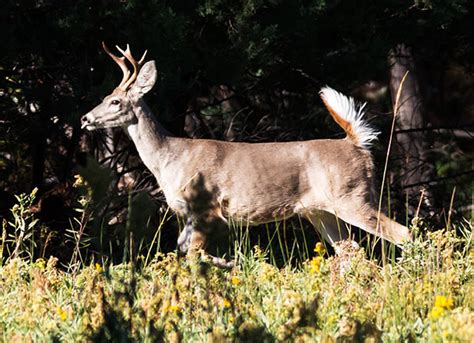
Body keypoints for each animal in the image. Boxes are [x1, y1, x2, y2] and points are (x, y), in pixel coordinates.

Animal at [81, 43, 412, 266]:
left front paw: (226, 266)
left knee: (402, 232)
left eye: (115, 101)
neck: (169, 158)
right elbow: (184, 250)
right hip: (321, 211)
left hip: (353, 197)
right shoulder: (188, 215)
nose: (85, 118)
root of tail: (355, 142)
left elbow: (194, 254)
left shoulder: (205, 208)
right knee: (352, 251)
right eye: (105, 97)